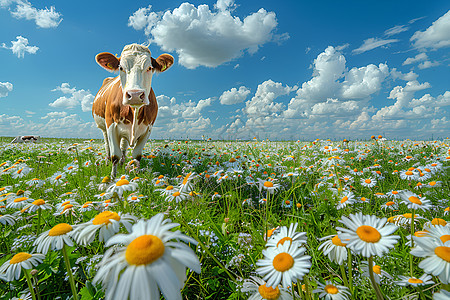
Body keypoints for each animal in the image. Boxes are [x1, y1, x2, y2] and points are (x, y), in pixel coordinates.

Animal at [92, 43, 173, 177]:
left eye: (149, 68)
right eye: (121, 68)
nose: (135, 94)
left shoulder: (148, 129)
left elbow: (136, 155)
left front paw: (136, 174)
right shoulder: (111, 125)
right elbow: (115, 155)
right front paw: (113, 178)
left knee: (124, 146)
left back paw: (122, 163)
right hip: (103, 127)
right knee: (107, 146)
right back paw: (108, 162)